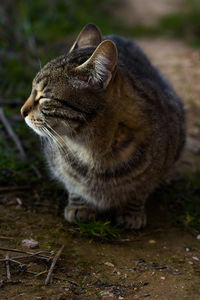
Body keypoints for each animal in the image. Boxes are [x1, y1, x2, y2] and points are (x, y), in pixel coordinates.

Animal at [21, 24, 185, 230]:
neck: (93, 149)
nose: (21, 111)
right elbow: (74, 185)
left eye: (44, 97)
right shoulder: (60, 168)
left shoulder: (162, 162)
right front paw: (80, 206)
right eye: (31, 90)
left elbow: (140, 191)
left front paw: (132, 212)